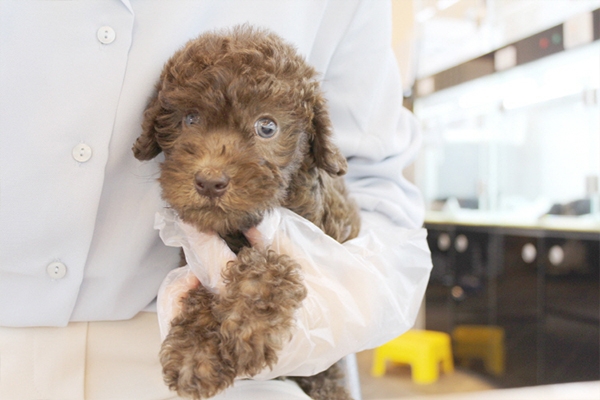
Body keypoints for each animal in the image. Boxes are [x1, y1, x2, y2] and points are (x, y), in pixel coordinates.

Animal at [133, 25, 360, 400]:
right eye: (190, 119)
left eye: (266, 127)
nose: (210, 182)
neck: (236, 228)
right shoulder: (197, 265)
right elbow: (205, 291)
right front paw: (195, 352)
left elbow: (270, 263)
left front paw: (249, 322)